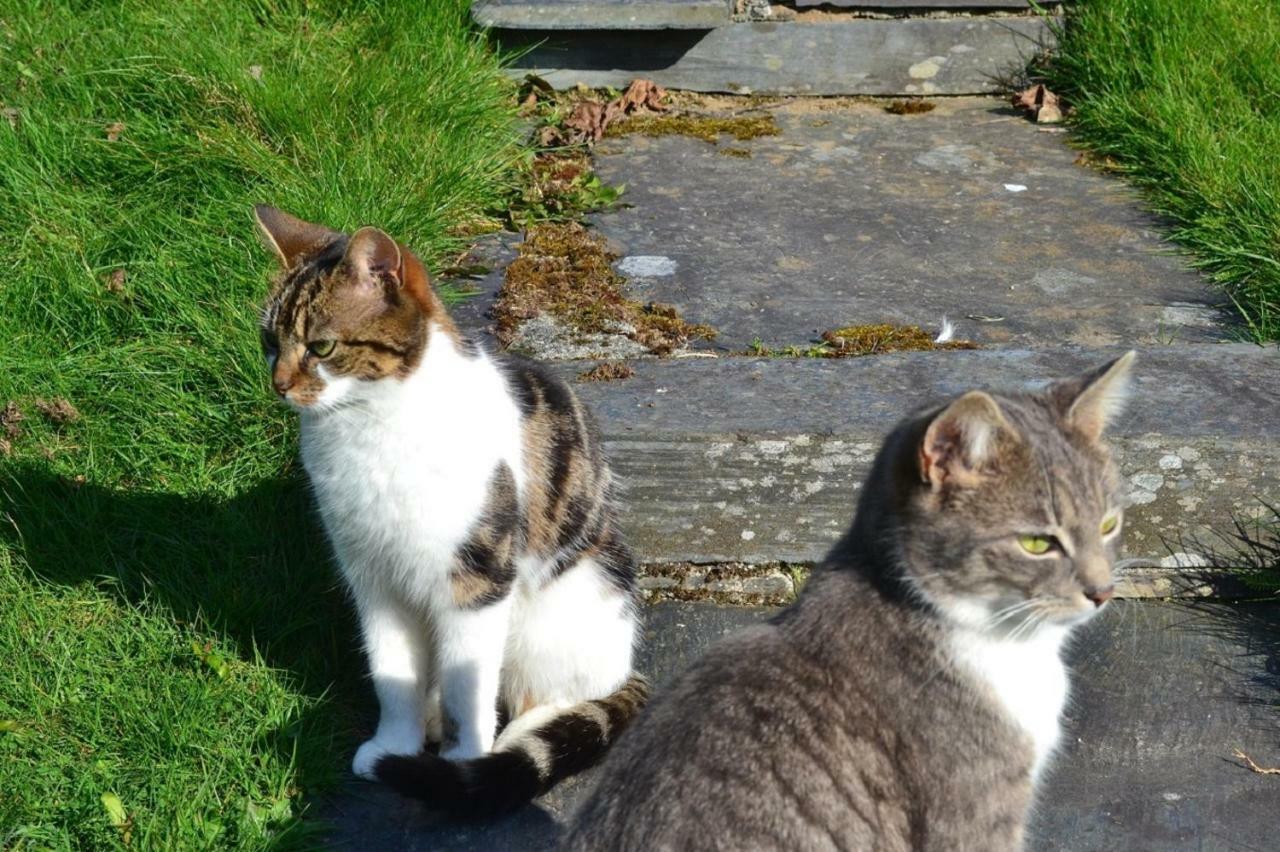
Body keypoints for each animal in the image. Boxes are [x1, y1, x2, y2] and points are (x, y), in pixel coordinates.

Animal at [253, 204, 645, 808]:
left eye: (321, 348)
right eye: (269, 341)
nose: (278, 385)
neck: (370, 428)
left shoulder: (478, 578)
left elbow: (469, 685)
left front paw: (464, 763)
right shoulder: (373, 577)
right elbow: (391, 671)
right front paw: (395, 744)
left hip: (564, 607)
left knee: (574, 690)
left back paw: (518, 736)